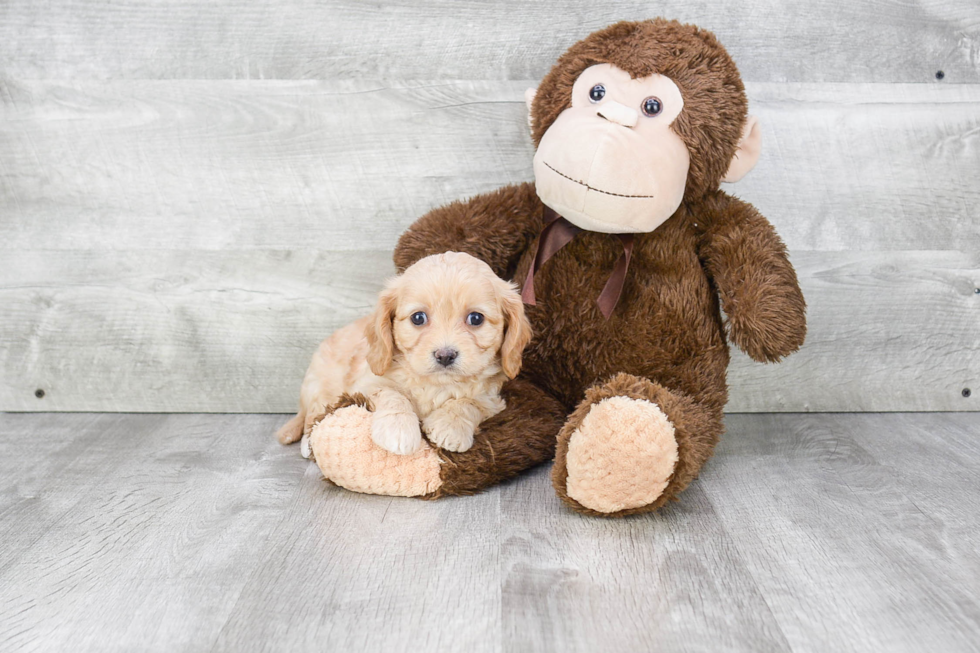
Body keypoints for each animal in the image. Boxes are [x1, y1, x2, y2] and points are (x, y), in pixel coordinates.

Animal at [276, 252, 532, 456]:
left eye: (476, 318)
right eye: (418, 318)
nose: (445, 355)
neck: (436, 385)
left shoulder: (491, 398)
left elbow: (469, 402)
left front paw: (450, 426)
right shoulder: (367, 383)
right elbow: (393, 394)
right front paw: (398, 430)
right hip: (319, 386)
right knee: (312, 416)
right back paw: (307, 443)